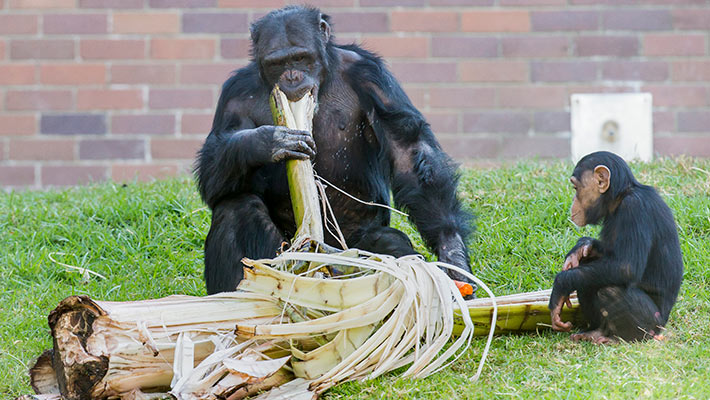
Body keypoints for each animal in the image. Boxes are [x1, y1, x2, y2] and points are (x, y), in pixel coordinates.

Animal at [195, 5, 476, 294]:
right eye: (277, 63)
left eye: (301, 58)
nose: (292, 76)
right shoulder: (234, 96)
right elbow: (212, 173)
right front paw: (268, 142)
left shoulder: (371, 75)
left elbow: (407, 150)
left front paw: (452, 253)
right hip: (283, 256)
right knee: (235, 208)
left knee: (389, 241)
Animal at [552, 151, 684, 344]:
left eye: (575, 188)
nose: (573, 201)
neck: (620, 197)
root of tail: (663, 326)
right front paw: (581, 247)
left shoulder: (634, 209)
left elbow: (625, 267)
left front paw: (560, 286)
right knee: (586, 274)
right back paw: (596, 331)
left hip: (653, 323)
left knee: (610, 290)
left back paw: (618, 338)